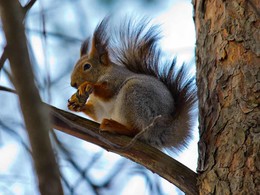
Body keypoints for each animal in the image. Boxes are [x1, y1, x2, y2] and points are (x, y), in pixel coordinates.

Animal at [68, 16, 196, 150]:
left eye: (87, 66)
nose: (73, 84)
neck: (103, 71)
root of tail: (161, 130)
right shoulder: (99, 108)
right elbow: (96, 112)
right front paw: (75, 105)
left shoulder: (116, 78)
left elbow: (107, 91)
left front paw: (88, 85)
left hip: (136, 98)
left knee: (135, 130)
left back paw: (112, 126)